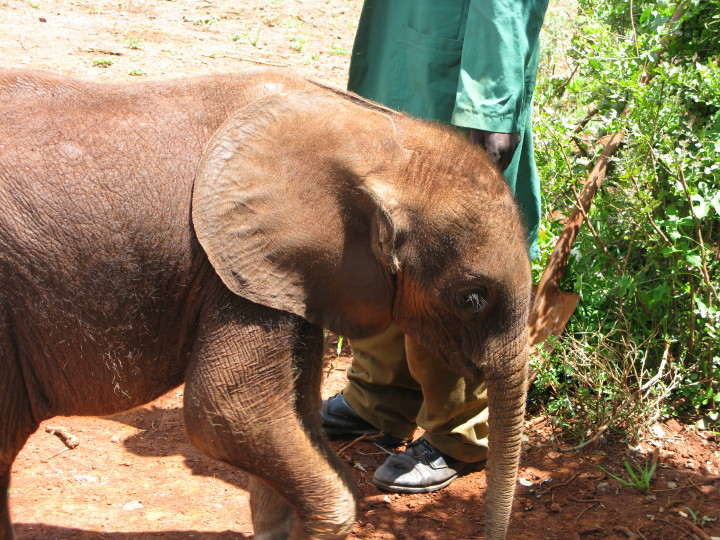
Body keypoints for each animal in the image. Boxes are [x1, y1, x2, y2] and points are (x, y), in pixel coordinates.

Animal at [0, 67, 532, 539]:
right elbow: (227, 415)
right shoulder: (232, 266)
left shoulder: (292, 275)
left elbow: (294, 414)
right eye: (471, 298)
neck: (373, 131)